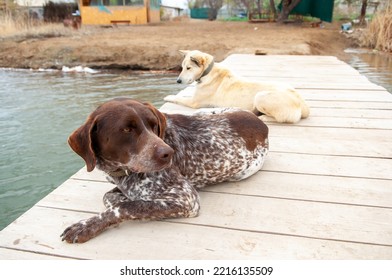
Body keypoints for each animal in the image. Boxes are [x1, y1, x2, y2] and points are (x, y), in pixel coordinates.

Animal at [61, 98, 270, 243]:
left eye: (154, 125)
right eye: (127, 130)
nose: (168, 153)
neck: (123, 171)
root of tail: (262, 124)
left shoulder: (185, 198)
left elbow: (126, 207)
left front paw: (87, 225)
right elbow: (110, 197)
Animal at [163, 50, 310, 123]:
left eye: (188, 68)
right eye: (182, 67)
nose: (178, 81)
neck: (208, 72)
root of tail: (304, 107)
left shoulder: (194, 102)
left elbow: (178, 98)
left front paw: (168, 96)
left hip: (260, 96)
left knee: (283, 119)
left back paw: (263, 117)